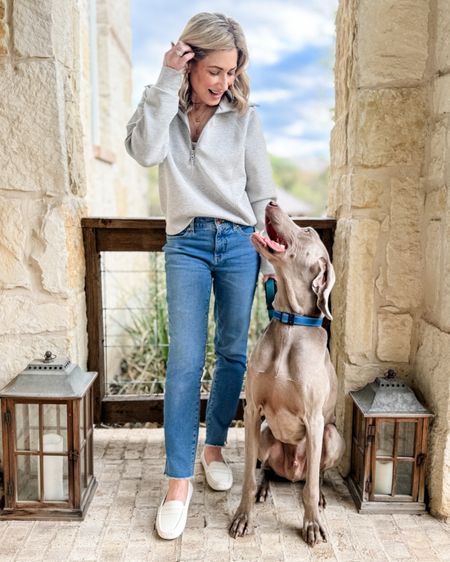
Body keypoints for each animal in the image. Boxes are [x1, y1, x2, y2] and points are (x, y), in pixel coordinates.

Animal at [230, 200, 346, 544]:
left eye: (307, 230)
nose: (271, 202)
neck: (290, 326)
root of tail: (292, 472)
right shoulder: (252, 411)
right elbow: (247, 478)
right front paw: (243, 517)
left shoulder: (314, 419)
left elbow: (311, 489)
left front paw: (312, 524)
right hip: (266, 435)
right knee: (266, 469)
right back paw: (265, 487)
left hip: (332, 436)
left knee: (313, 477)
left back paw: (320, 497)